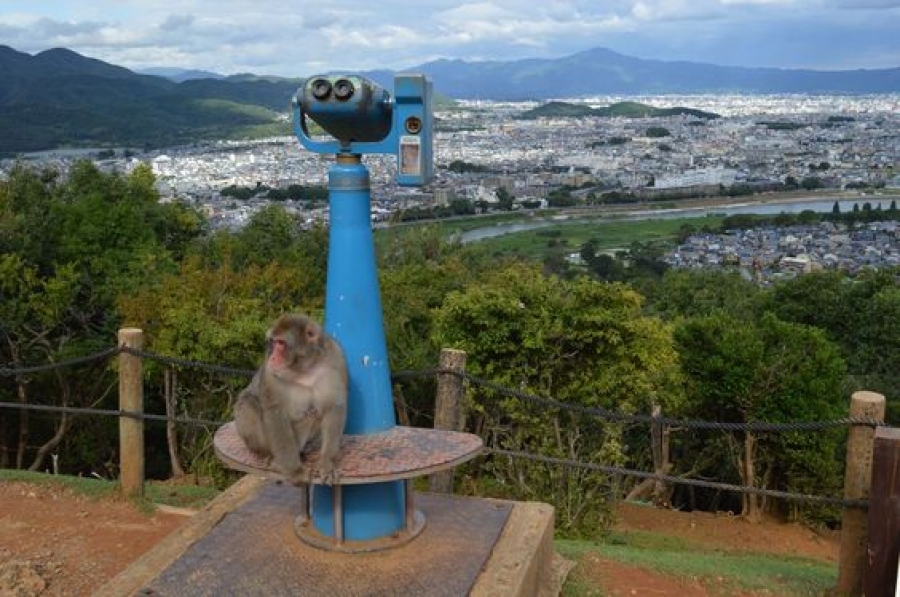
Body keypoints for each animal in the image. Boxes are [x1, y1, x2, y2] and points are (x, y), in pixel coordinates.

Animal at [232, 312, 348, 484]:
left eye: (281, 343)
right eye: (273, 342)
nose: (272, 357)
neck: (305, 366)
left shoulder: (336, 360)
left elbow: (335, 405)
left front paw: (326, 463)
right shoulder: (271, 372)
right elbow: (275, 412)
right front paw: (295, 472)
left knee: (314, 413)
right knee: (248, 404)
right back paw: (272, 458)